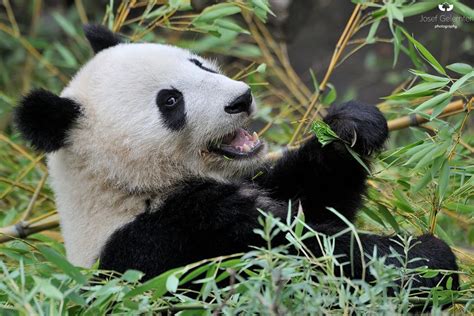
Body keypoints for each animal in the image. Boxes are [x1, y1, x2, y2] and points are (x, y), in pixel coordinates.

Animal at [15, 25, 460, 292]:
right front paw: (422, 261)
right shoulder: (160, 246)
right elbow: (296, 253)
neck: (125, 189)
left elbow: (312, 198)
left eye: (199, 64)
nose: (241, 99)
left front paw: (350, 126)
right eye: (170, 101)